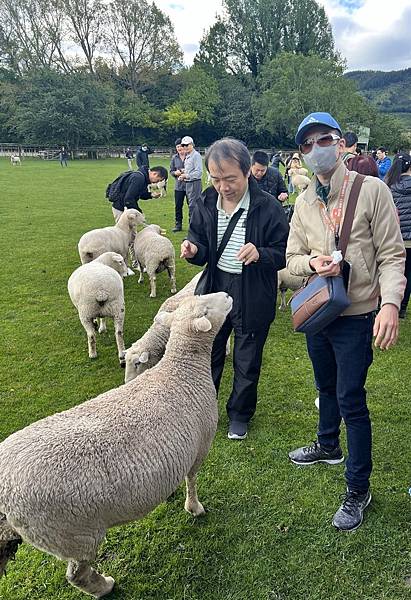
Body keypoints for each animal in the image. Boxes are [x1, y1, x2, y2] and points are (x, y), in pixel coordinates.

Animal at [0, 290, 233, 596]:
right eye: (205, 310)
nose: (228, 294)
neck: (181, 370)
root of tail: (4, 489)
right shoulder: (200, 447)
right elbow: (191, 480)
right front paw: (194, 508)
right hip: (74, 536)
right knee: (76, 574)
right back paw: (104, 587)